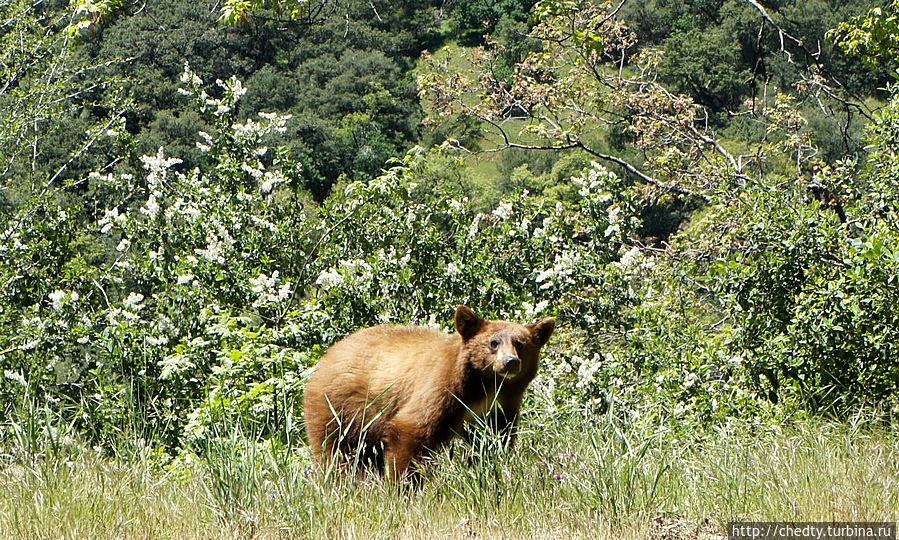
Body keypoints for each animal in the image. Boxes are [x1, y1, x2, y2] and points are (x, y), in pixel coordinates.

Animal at [304, 306, 556, 478]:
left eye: (520, 343)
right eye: (494, 342)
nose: (510, 362)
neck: (485, 386)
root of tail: (327, 356)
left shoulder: (500, 406)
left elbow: (494, 439)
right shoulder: (442, 387)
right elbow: (412, 429)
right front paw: (403, 484)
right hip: (339, 406)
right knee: (338, 449)